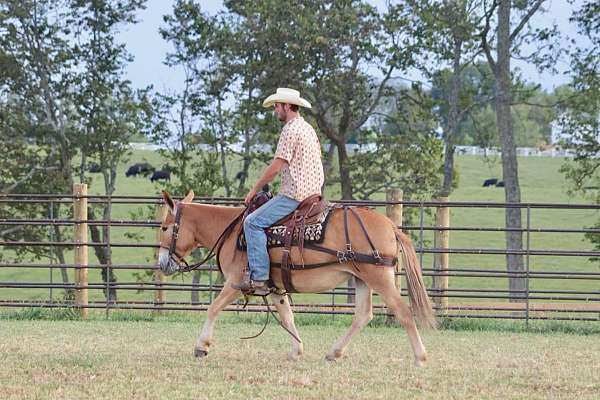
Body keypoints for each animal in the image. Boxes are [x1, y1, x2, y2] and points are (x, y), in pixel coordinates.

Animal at [156, 191, 436, 366]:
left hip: (380, 278)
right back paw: (334, 353)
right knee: (363, 316)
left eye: (164, 227)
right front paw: (296, 350)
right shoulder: (276, 288)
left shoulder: (235, 282)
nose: (161, 263)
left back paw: (421, 357)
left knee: (403, 312)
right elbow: (287, 316)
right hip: (361, 279)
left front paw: (202, 346)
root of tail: (391, 226)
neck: (233, 231)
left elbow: (213, 308)